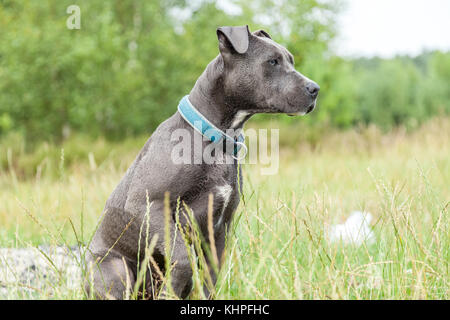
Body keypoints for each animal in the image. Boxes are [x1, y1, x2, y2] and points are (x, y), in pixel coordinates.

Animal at [85, 25, 320, 300]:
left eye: (290, 60)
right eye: (272, 61)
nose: (315, 89)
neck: (216, 138)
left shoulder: (219, 229)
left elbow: (209, 279)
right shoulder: (148, 206)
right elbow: (182, 258)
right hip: (115, 268)